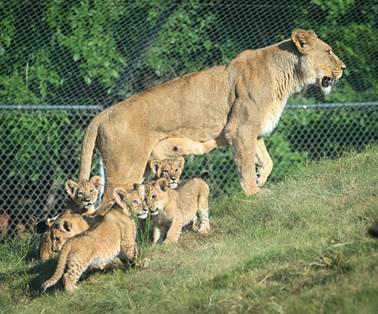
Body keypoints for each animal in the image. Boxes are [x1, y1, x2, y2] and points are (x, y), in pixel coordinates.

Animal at [79, 30, 346, 201]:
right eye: (329, 51)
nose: (344, 67)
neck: (287, 76)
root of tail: (103, 114)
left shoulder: (254, 132)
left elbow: (266, 161)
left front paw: (261, 179)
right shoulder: (240, 130)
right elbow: (245, 166)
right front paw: (254, 193)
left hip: (143, 168)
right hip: (124, 170)